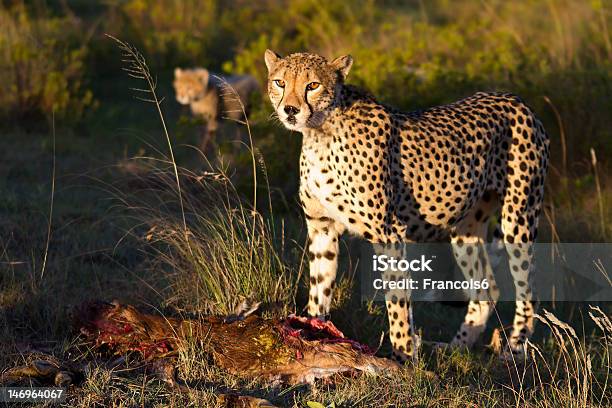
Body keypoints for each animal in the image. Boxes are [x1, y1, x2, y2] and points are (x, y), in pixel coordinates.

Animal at [262, 49, 548, 362]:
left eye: (312, 85)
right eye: (279, 82)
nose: (290, 110)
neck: (319, 133)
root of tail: (515, 99)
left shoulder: (388, 233)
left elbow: (397, 302)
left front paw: (403, 358)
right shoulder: (322, 228)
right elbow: (319, 289)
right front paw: (313, 331)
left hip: (519, 217)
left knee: (528, 293)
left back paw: (515, 349)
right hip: (466, 229)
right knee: (487, 291)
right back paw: (455, 348)